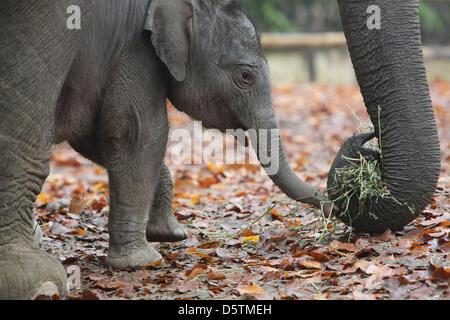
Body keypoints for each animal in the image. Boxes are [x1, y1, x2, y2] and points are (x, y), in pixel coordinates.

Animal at [0, 0, 330, 300]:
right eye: (245, 76)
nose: (334, 206)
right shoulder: (134, 48)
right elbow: (139, 131)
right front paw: (142, 261)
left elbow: (95, 136)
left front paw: (169, 235)